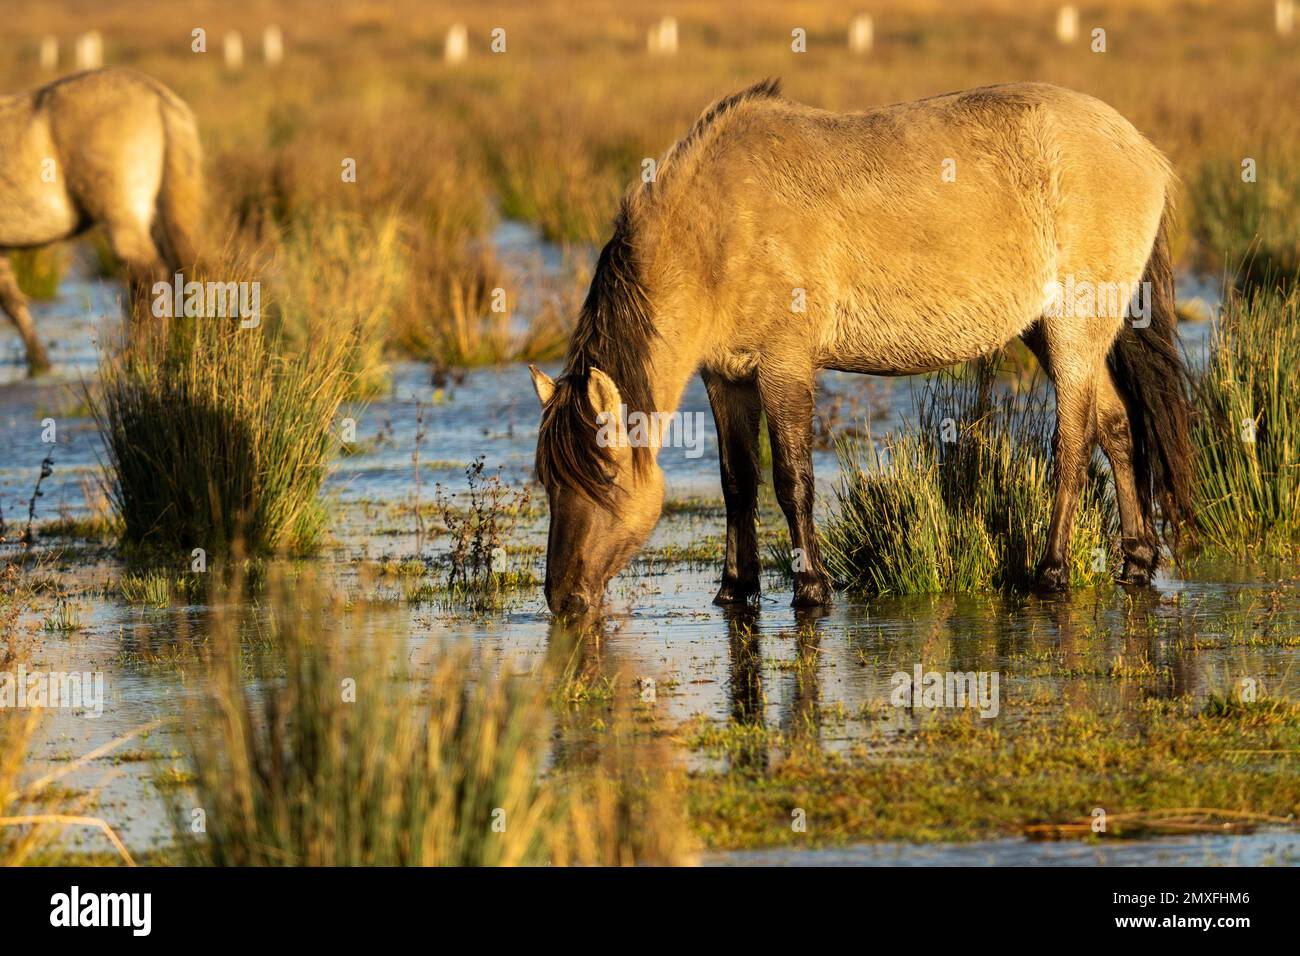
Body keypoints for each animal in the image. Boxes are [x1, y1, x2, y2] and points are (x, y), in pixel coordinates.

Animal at [0, 66, 201, 374]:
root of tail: (155, 93)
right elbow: (13, 303)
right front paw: (40, 362)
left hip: (122, 219)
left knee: (149, 277)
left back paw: (133, 358)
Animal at [533, 78, 1190, 616]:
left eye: (603, 477)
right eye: (546, 479)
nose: (562, 599)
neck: (714, 228)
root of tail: (1145, 152)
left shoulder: (784, 366)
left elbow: (792, 479)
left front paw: (811, 588)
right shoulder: (726, 376)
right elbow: (737, 481)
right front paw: (734, 589)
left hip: (1072, 329)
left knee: (1074, 444)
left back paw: (1050, 573)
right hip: (1051, 332)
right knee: (1116, 426)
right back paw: (1136, 560)